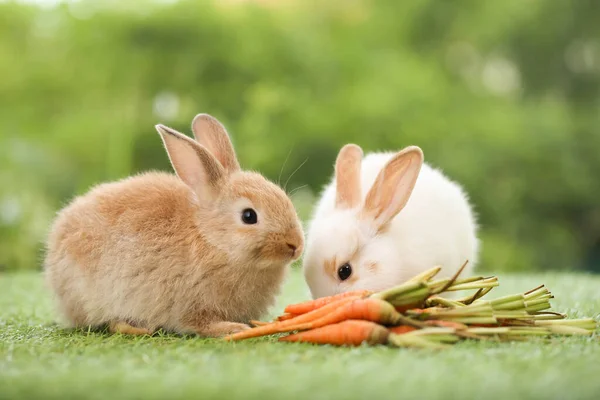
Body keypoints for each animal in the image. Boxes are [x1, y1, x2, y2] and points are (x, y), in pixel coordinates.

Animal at [44, 113, 304, 338]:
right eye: (249, 216)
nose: (296, 245)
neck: (212, 240)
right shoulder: (191, 304)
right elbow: (200, 323)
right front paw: (232, 328)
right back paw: (140, 329)